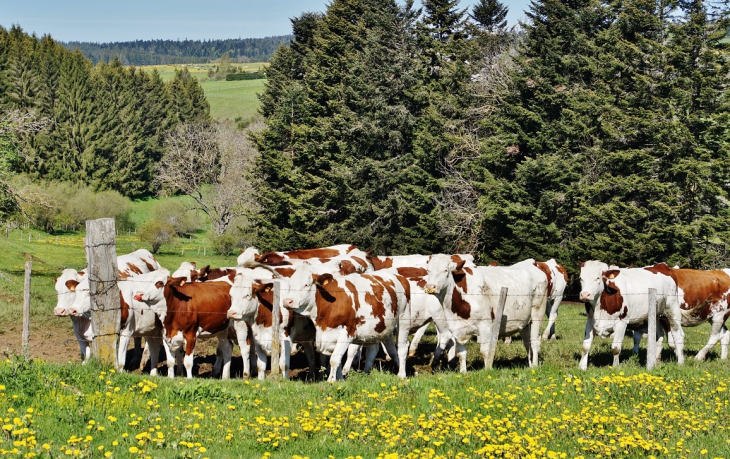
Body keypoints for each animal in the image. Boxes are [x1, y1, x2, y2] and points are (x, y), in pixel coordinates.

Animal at [278, 264, 410, 382]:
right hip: (379, 328)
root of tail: (400, 277)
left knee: (402, 347)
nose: (287, 301)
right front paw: (340, 379)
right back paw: (367, 372)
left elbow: (334, 360)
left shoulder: (347, 332)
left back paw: (401, 375)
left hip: (403, 320)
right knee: (375, 349)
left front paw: (331, 381)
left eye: (306, 284)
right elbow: (338, 360)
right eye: (290, 284)